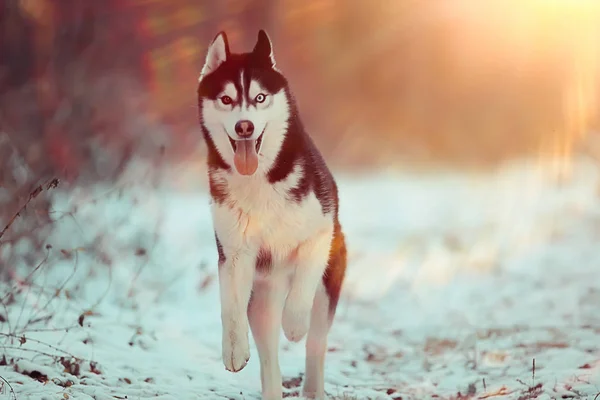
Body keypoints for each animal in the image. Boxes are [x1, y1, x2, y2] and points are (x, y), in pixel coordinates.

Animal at [197, 29, 346, 398]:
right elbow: (230, 307)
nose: (245, 127)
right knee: (269, 360)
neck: (259, 181)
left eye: (260, 97)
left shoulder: (319, 233)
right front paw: (234, 349)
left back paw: (313, 384)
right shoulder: (234, 252)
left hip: (327, 288)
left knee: (316, 344)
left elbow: (303, 285)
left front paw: (293, 323)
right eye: (226, 99)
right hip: (263, 298)